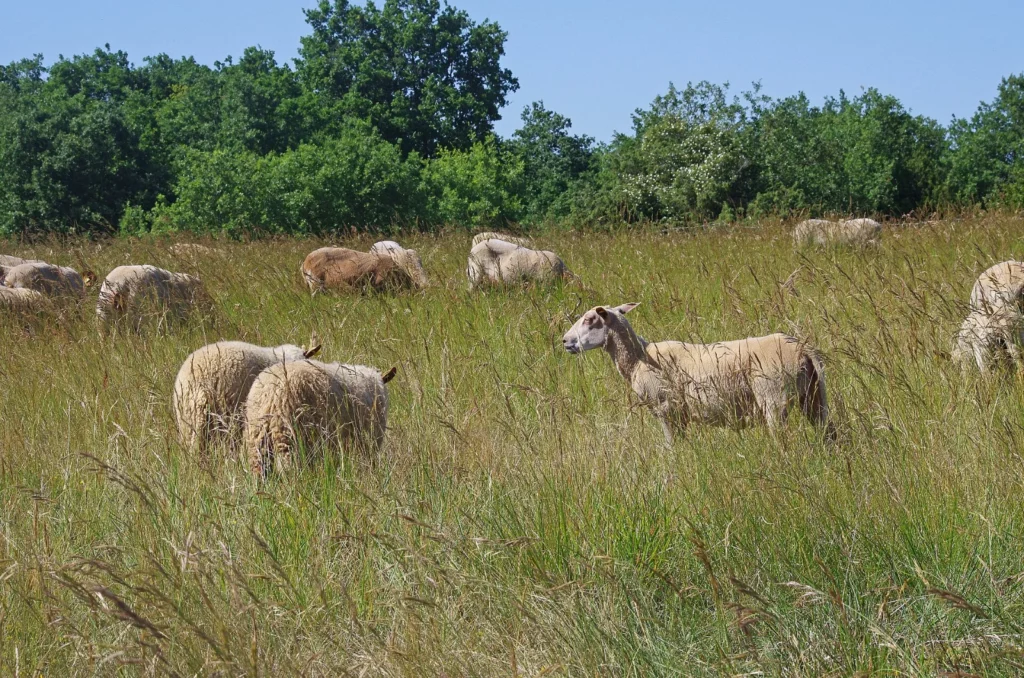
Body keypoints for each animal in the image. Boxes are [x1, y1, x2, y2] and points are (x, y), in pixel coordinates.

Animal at [244, 359, 396, 477]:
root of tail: (271, 394)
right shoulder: (369, 443)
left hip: (258, 439)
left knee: (259, 471)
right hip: (291, 438)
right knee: (290, 470)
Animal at [562, 303, 833, 444]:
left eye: (589, 319)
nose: (565, 341)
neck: (638, 359)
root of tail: (802, 348)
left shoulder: (666, 409)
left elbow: (671, 447)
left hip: (773, 397)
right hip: (813, 395)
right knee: (827, 430)